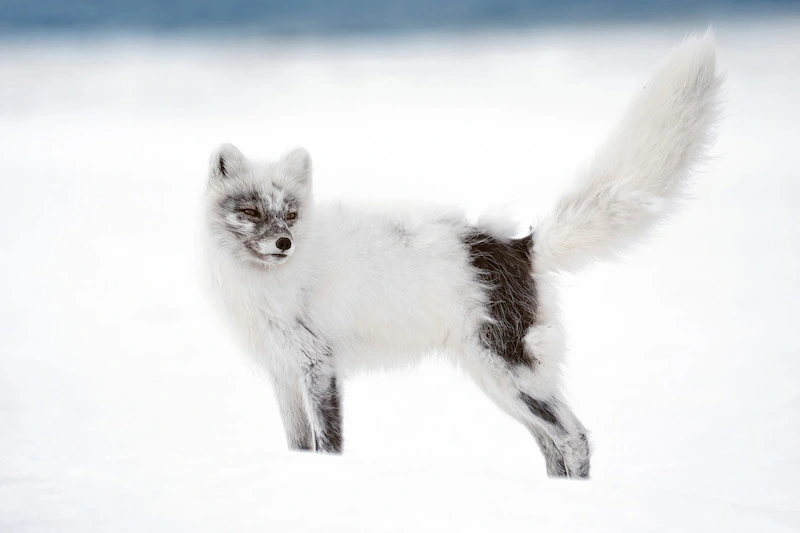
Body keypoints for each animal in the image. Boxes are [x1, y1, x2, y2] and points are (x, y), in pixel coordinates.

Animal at [200, 34, 720, 478]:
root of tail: (519, 245)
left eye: (290, 213)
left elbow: (328, 445)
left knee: (574, 439)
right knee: (552, 444)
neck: (264, 283)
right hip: (495, 379)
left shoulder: (318, 365)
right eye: (251, 211)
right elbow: (298, 445)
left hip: (509, 375)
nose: (283, 244)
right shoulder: (283, 371)